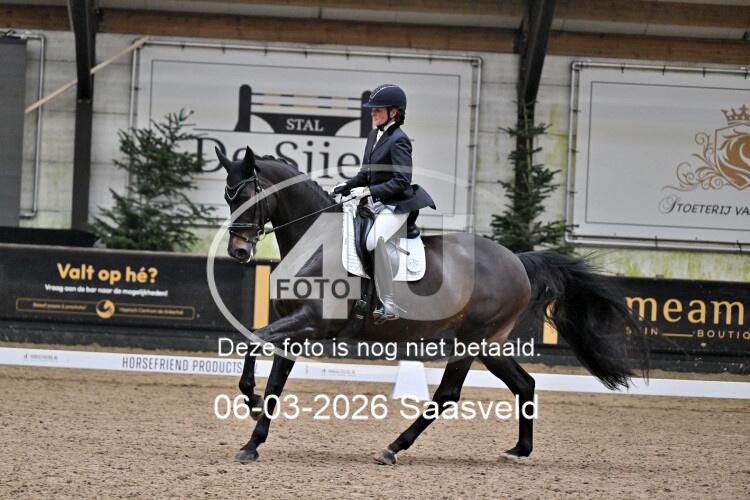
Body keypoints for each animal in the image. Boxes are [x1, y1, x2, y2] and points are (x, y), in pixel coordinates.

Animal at [217, 147, 649, 464]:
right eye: (227, 197)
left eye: (248, 197)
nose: (238, 252)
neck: (315, 244)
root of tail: (517, 261)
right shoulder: (295, 328)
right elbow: (274, 380)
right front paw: (252, 438)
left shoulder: (310, 322)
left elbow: (252, 340)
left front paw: (251, 403)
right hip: (491, 344)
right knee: (524, 383)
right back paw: (519, 450)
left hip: (472, 338)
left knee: (449, 393)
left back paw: (393, 447)